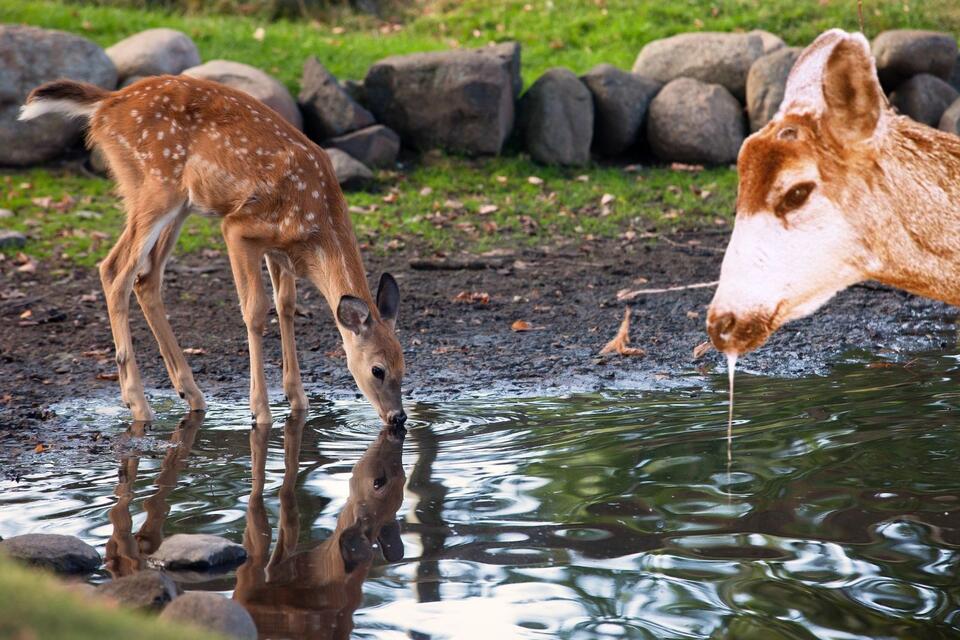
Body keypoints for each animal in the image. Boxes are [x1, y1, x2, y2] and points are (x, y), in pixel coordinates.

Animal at [18, 75, 406, 428]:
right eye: (377, 370)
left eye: (404, 364)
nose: (398, 417)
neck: (316, 227)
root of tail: (107, 102)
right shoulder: (240, 228)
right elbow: (255, 310)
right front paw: (260, 412)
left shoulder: (279, 250)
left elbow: (286, 306)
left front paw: (297, 401)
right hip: (155, 185)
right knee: (115, 269)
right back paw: (139, 405)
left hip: (179, 204)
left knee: (147, 277)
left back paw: (190, 394)